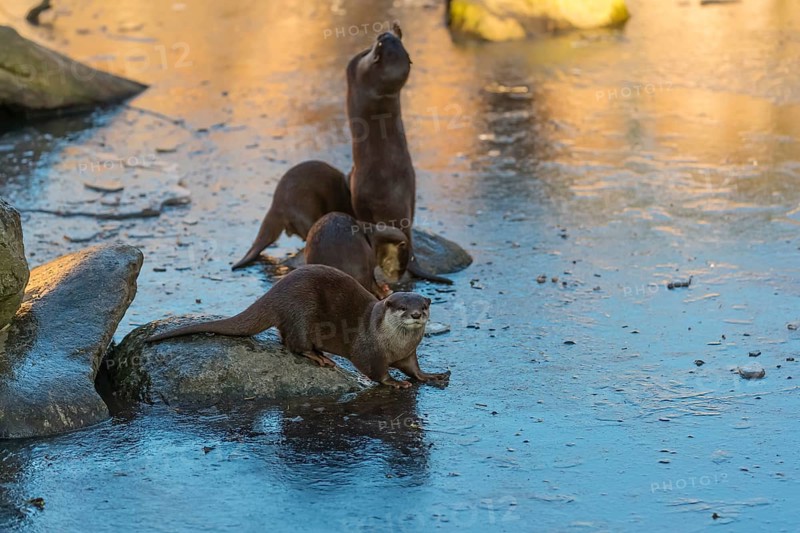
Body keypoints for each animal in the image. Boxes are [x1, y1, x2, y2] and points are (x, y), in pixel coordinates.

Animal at [146, 265, 450, 389]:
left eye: (423, 306)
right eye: (402, 307)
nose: (416, 315)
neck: (393, 343)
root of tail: (275, 293)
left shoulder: (408, 353)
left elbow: (414, 368)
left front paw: (430, 376)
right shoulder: (368, 350)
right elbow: (374, 370)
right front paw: (395, 383)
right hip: (301, 312)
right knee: (293, 344)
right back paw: (319, 357)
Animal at [347, 23, 452, 285]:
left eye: (381, 42)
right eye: (390, 39)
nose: (386, 31)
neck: (381, 92)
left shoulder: (356, 70)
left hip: (358, 191)